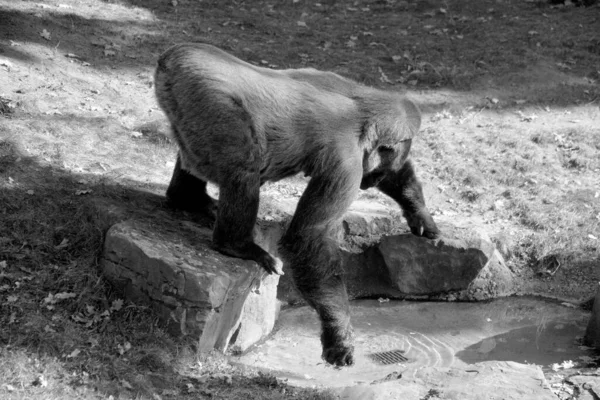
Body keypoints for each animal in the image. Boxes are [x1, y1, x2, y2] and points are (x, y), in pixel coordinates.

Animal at [152, 43, 438, 366]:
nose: (369, 181)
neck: (363, 116)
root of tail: (174, 54)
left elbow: (396, 178)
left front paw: (420, 214)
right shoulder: (347, 163)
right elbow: (308, 237)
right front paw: (339, 332)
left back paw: (188, 198)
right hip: (204, 93)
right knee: (245, 164)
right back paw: (236, 244)